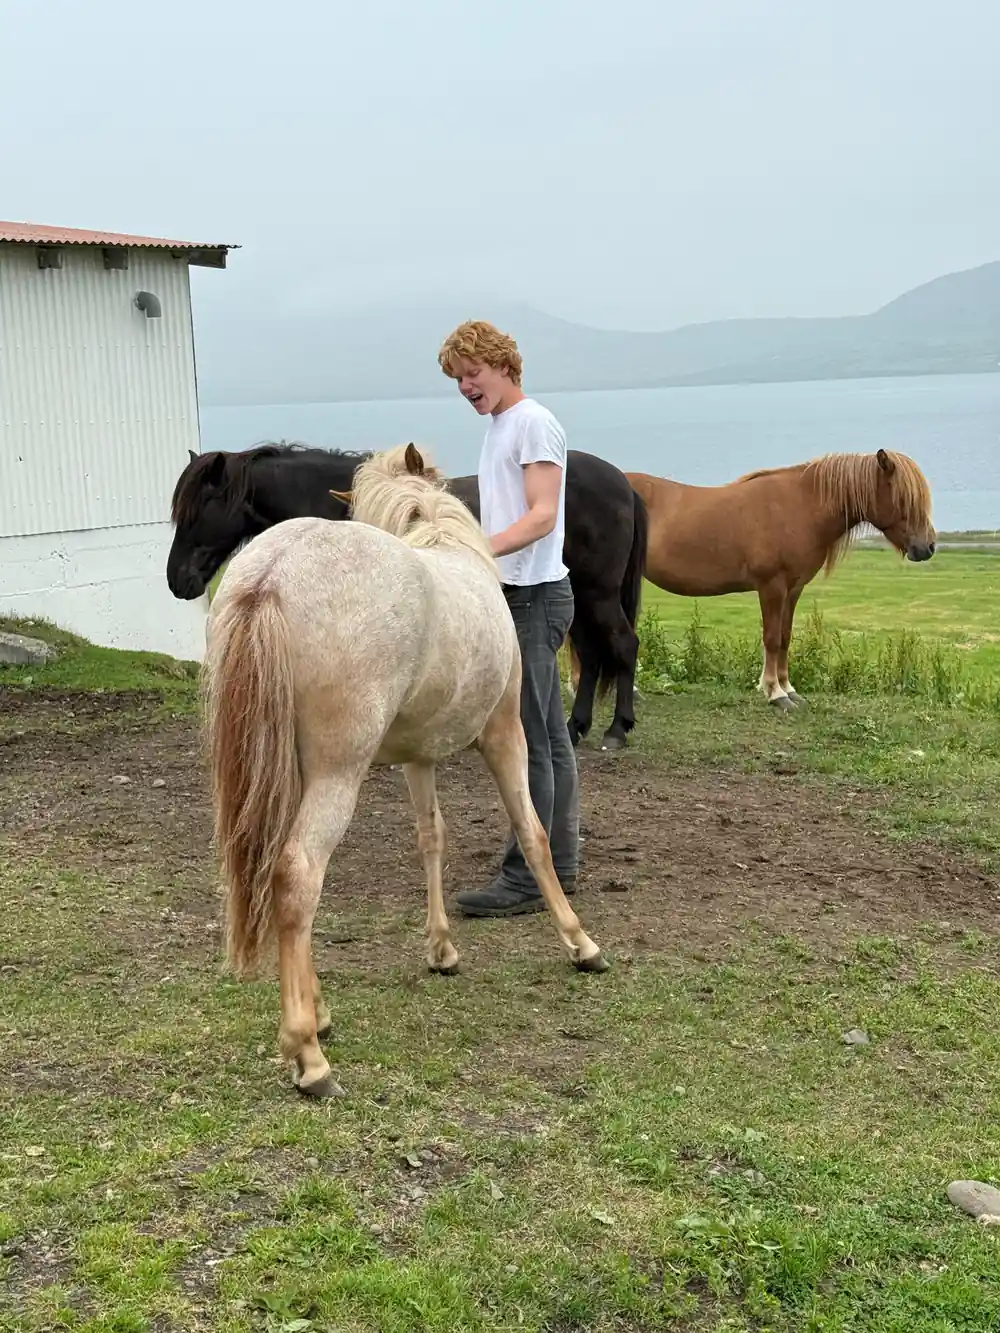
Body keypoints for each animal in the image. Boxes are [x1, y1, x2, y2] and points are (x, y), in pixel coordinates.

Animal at [167, 442, 648, 751]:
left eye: (198, 509)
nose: (176, 581)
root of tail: (624, 483)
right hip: (583, 596)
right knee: (593, 655)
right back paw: (576, 727)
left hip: (599, 593)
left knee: (624, 645)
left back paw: (617, 729)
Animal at [201, 442, 608, 1101]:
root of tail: (273, 576)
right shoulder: (505, 735)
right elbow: (533, 833)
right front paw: (580, 943)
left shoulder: (419, 756)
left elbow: (431, 837)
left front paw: (441, 948)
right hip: (337, 774)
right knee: (298, 874)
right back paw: (309, 1055)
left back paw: (318, 1014)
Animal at [624, 448, 936, 709]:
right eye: (904, 498)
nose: (928, 547)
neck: (801, 507)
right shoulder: (772, 586)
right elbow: (772, 638)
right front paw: (775, 693)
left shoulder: (793, 589)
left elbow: (785, 637)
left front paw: (789, 689)